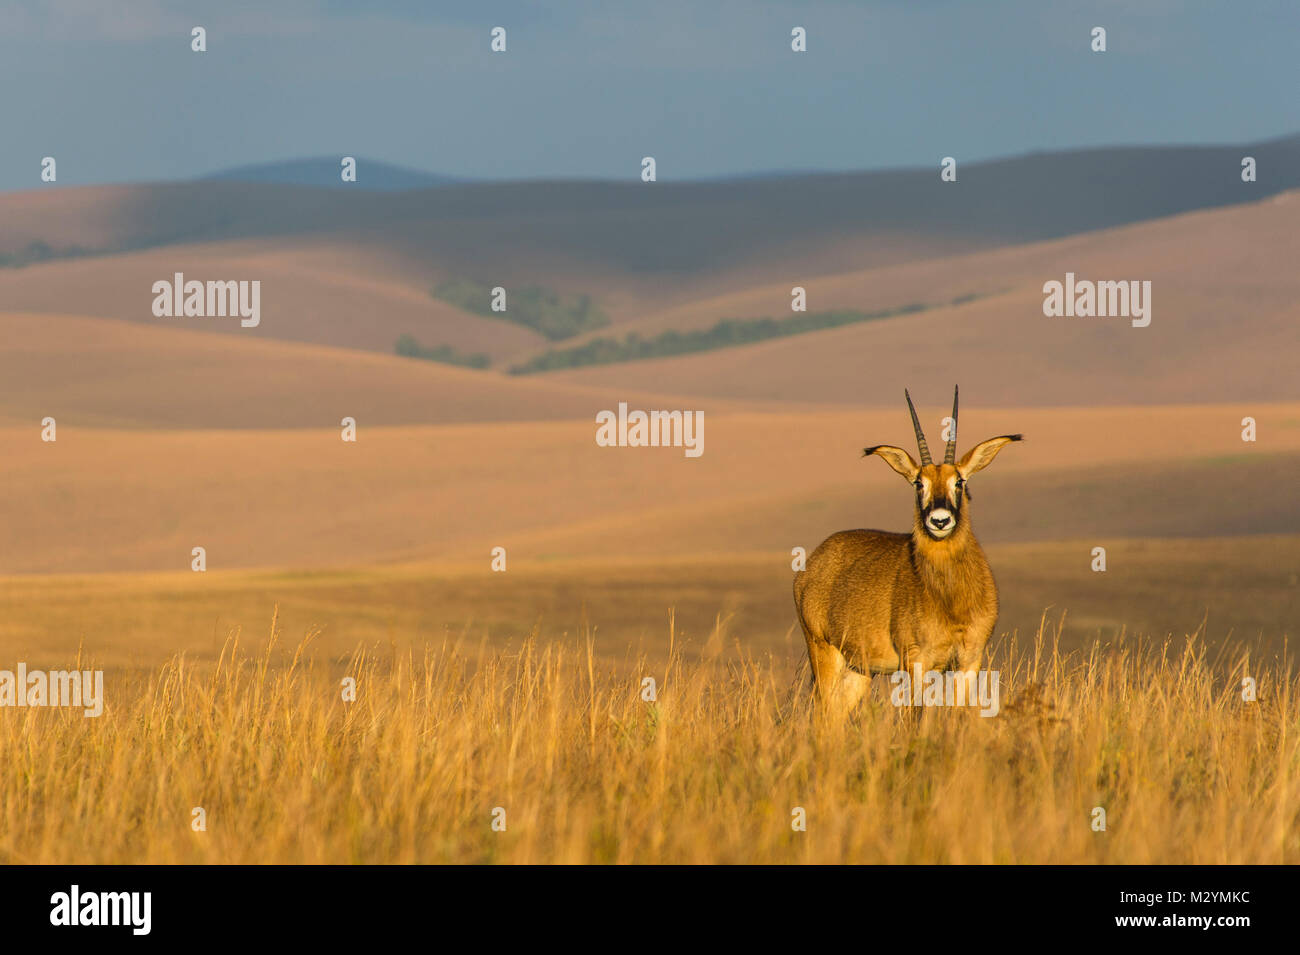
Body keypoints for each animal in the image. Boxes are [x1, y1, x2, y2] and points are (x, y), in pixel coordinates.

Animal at [795, 389, 1019, 717]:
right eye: (918, 483)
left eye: (959, 481)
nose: (939, 520)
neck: (949, 599)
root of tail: (811, 565)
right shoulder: (915, 662)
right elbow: (914, 717)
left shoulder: (968, 660)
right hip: (823, 652)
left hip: (859, 669)